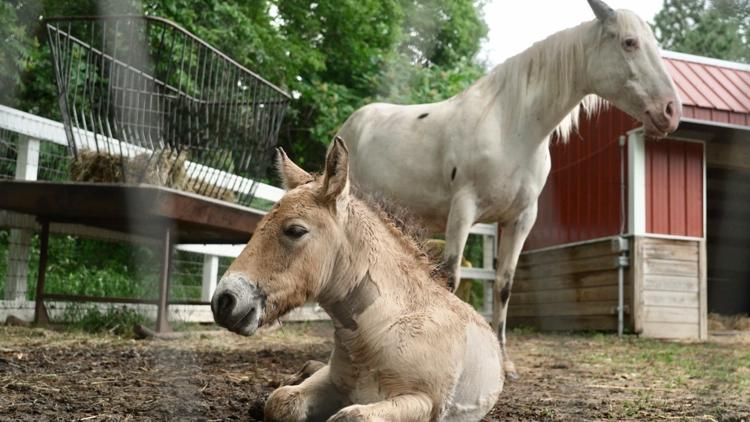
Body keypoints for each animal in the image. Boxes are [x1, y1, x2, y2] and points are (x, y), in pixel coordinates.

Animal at [211, 138, 504, 422]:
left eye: (295, 230)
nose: (224, 301)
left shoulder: (426, 401)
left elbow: (350, 417)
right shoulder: (332, 381)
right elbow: (281, 402)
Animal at [335, 0, 682, 380]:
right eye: (629, 43)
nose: (671, 112)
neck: (511, 127)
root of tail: (350, 125)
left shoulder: (519, 219)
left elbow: (504, 286)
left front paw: (505, 362)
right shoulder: (463, 210)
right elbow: (451, 279)